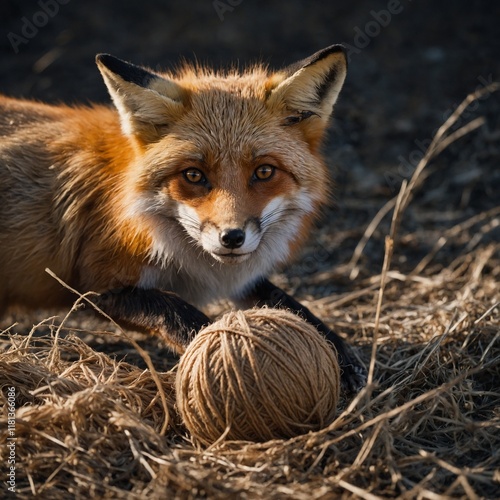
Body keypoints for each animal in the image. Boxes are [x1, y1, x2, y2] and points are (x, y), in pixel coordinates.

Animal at [0, 45, 368, 392]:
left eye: (264, 172)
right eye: (193, 175)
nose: (231, 237)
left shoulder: (241, 280)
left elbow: (289, 303)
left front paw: (338, 351)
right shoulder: (93, 285)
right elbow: (180, 313)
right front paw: (230, 351)